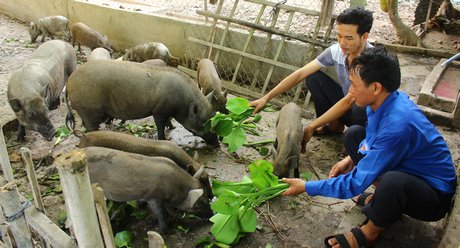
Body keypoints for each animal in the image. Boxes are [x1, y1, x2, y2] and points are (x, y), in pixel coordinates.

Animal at [65, 60, 220, 145]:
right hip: (88, 109)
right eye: (203, 123)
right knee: (90, 127)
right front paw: (164, 139)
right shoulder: (159, 111)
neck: (183, 103)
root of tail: (69, 82)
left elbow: (168, 121)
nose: (217, 144)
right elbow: (160, 125)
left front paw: (173, 128)